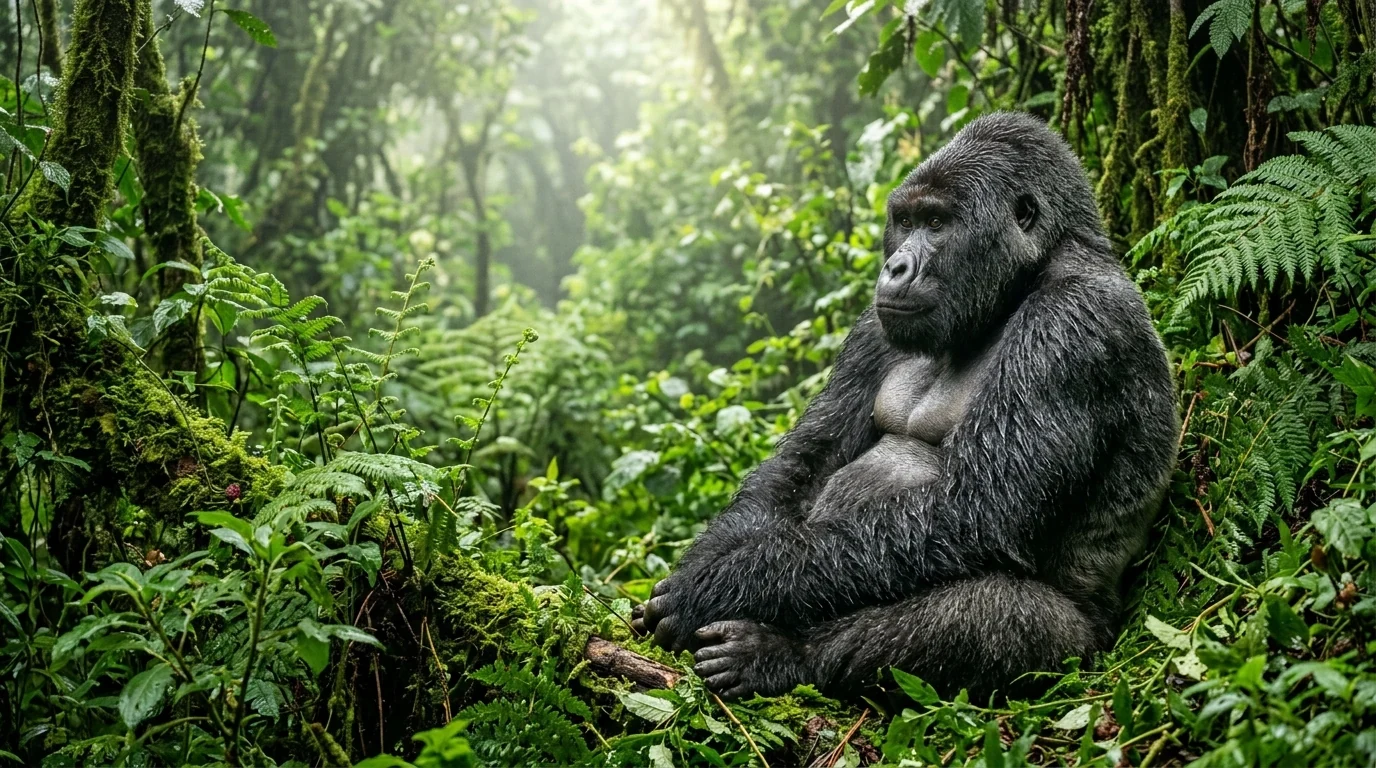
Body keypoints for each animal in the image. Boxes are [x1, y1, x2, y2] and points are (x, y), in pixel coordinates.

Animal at [631, 112, 1177, 701]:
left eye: (937, 223)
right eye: (906, 220)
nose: (894, 267)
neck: (1023, 279)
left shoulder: (1074, 322)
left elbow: (975, 510)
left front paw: (716, 586)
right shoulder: (874, 327)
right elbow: (798, 470)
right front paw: (708, 562)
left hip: (1085, 648)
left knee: (988, 615)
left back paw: (779, 656)